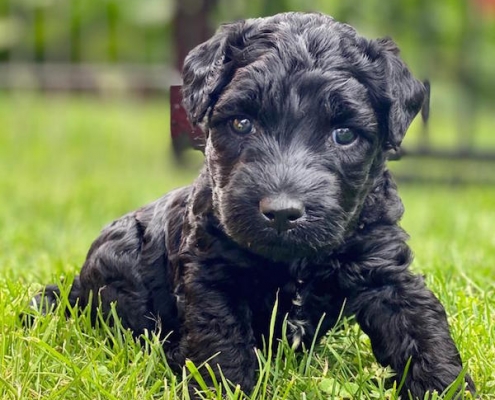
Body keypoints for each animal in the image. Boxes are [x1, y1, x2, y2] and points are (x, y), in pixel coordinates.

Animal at [35, 11, 476, 396]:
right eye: (242, 123)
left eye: (344, 134)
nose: (281, 212)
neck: (294, 262)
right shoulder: (212, 276)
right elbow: (222, 347)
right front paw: (223, 391)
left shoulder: (383, 267)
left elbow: (419, 328)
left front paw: (446, 387)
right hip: (121, 253)